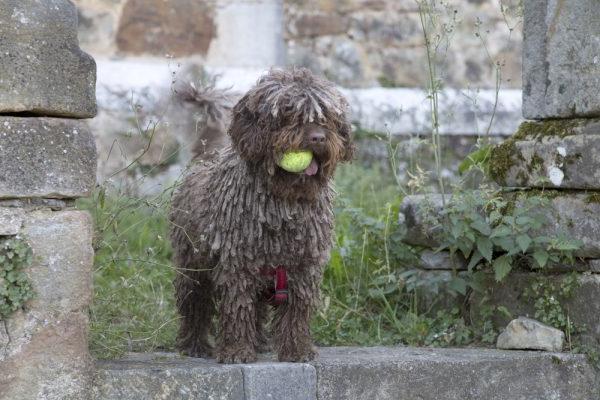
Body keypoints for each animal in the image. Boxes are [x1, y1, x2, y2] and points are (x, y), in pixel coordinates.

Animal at [169, 68, 354, 362]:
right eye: (288, 113)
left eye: (325, 116)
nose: (318, 138)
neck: (285, 203)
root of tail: (206, 156)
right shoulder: (237, 263)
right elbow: (237, 307)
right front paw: (236, 351)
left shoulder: (304, 266)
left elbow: (296, 311)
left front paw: (297, 349)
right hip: (193, 263)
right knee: (195, 303)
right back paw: (195, 345)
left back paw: (257, 342)